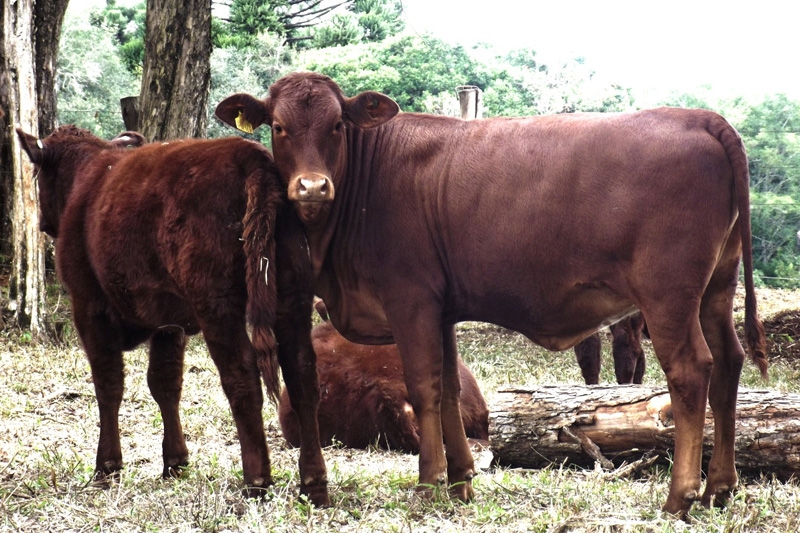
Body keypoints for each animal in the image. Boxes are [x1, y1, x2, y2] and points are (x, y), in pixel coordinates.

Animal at [16, 124, 328, 502]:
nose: (44, 222)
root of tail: (252, 158)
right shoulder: (169, 323)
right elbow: (165, 383)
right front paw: (175, 463)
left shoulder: (88, 306)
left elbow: (108, 383)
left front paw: (107, 467)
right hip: (293, 296)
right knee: (302, 375)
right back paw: (314, 483)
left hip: (217, 304)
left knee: (243, 378)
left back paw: (256, 480)